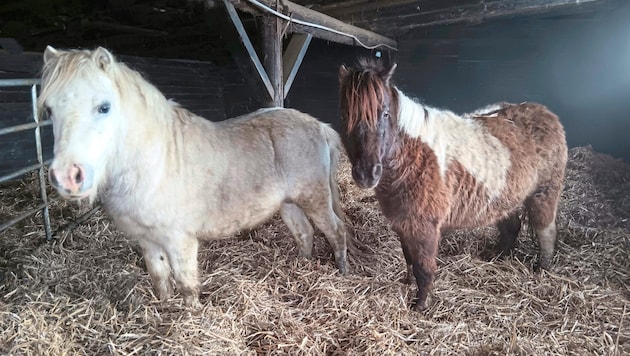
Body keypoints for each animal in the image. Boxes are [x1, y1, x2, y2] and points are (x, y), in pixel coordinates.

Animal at [40, 46, 356, 308]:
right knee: (305, 233)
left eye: (104, 107)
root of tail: (319, 126)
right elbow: (159, 276)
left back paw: (342, 271)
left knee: (336, 231)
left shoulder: (179, 240)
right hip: (289, 203)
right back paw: (302, 266)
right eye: (50, 110)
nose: (68, 177)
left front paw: (191, 318)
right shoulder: (146, 239)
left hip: (315, 198)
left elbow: (186, 285)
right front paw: (165, 308)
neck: (154, 164)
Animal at [338, 57, 572, 308]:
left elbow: (423, 268)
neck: (415, 155)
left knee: (545, 231)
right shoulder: (402, 223)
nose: (366, 174)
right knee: (511, 228)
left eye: (384, 114)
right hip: (502, 199)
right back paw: (497, 258)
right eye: (345, 116)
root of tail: (545, 112)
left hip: (544, 193)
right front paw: (406, 284)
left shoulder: (424, 228)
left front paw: (419, 305)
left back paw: (542, 269)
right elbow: (409, 259)